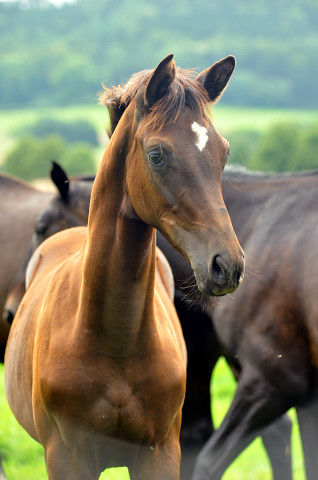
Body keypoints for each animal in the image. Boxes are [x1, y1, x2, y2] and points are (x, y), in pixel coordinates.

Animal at [4, 54, 243, 478]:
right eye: (156, 155)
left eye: (224, 152)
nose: (226, 265)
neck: (114, 340)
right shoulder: (68, 459)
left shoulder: (160, 454)